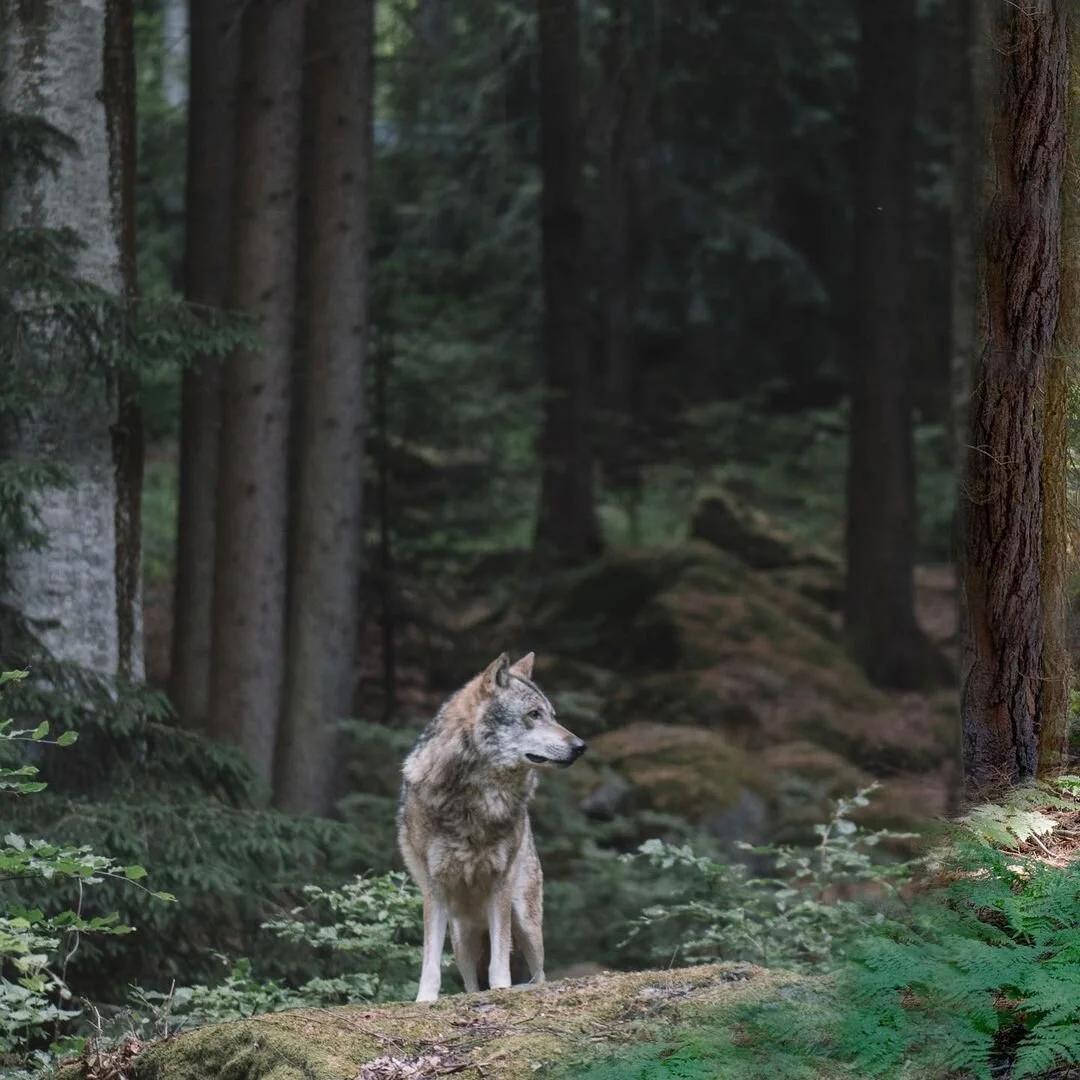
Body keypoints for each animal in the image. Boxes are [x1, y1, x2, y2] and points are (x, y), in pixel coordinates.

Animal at [397, 651, 587, 1002]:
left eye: (553, 715)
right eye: (534, 714)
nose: (581, 746)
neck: (478, 799)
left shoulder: (501, 883)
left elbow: (499, 962)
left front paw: (502, 991)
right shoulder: (434, 887)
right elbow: (430, 963)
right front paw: (425, 1001)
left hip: (525, 920)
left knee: (539, 973)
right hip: (462, 937)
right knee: (471, 982)